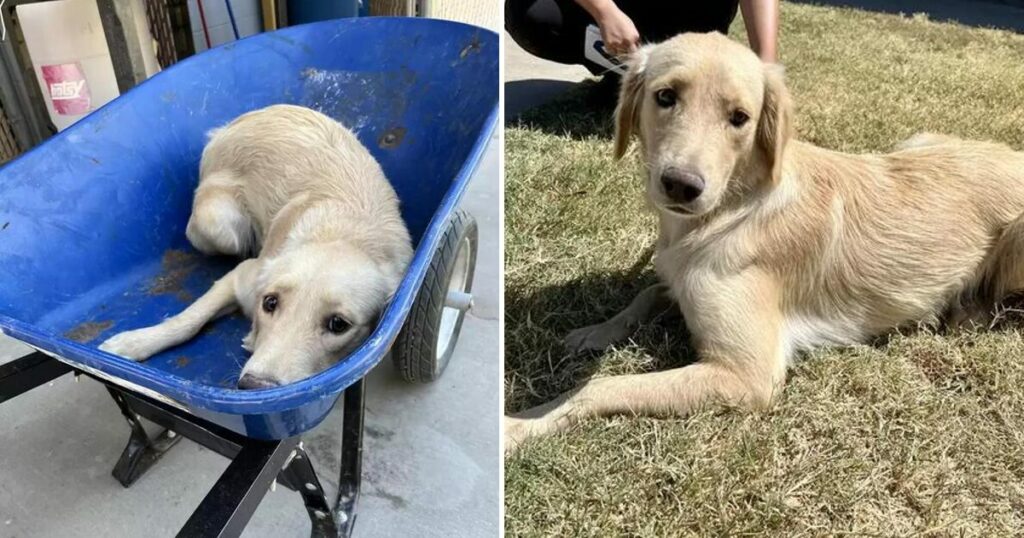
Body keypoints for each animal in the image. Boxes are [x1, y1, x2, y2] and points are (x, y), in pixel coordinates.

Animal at [99, 102, 411, 385]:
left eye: (338, 324)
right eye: (270, 303)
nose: (253, 386)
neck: (345, 235)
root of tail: (237, 122)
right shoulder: (242, 276)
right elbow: (187, 320)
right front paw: (135, 342)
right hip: (220, 226)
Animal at [507, 30, 1024, 448]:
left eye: (740, 117)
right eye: (665, 96)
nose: (681, 185)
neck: (729, 210)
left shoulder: (747, 374)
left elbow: (600, 386)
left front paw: (521, 423)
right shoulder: (681, 281)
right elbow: (649, 291)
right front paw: (594, 332)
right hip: (915, 140)